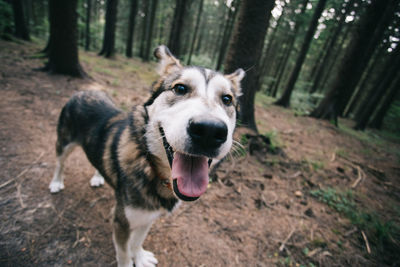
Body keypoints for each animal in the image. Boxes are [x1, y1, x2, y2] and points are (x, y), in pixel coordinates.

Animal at [48, 46, 245, 267]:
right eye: (180, 88)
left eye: (227, 99)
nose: (209, 131)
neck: (152, 168)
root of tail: (85, 90)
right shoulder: (121, 221)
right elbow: (124, 254)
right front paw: (130, 259)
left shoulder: (149, 215)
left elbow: (138, 240)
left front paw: (140, 257)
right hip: (64, 143)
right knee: (59, 163)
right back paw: (56, 182)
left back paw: (98, 177)